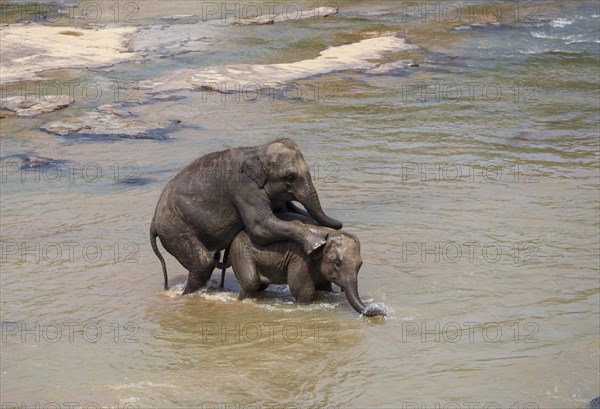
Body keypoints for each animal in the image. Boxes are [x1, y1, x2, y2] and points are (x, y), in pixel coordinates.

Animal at [226, 212, 390, 318]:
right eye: (338, 263)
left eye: (360, 265)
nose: (383, 311)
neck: (328, 234)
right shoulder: (301, 258)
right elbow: (303, 291)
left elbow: (324, 289)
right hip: (241, 253)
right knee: (250, 282)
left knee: (260, 285)